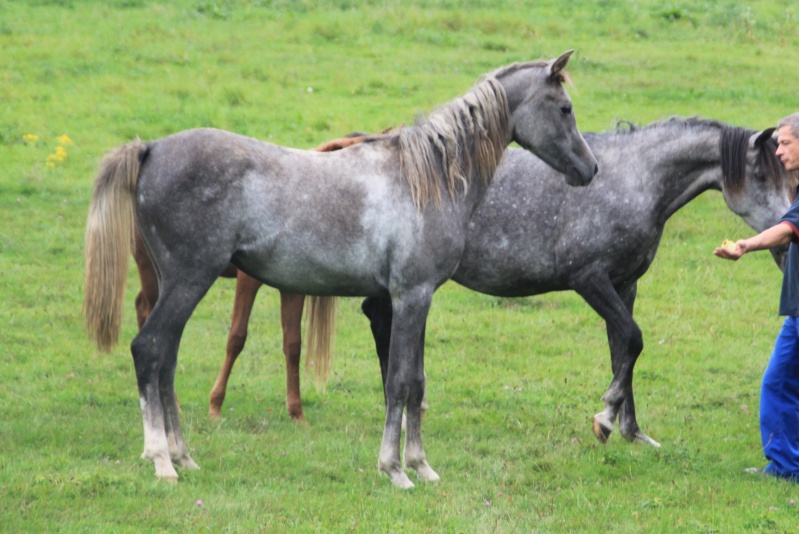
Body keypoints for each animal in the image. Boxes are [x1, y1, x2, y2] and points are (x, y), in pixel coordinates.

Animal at [133, 134, 368, 422]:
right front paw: (215, 405)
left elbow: (293, 344)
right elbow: (236, 337)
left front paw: (296, 412)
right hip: (157, 275)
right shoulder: (247, 281)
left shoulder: (293, 290)